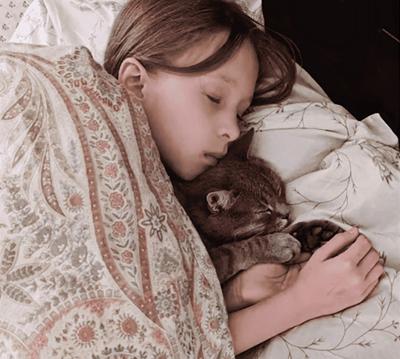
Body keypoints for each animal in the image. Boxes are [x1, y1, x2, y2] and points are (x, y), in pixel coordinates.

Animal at [170, 129, 342, 284]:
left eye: (278, 190)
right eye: (264, 210)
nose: (288, 213)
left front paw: (312, 233)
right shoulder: (211, 264)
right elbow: (238, 248)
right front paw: (277, 244)